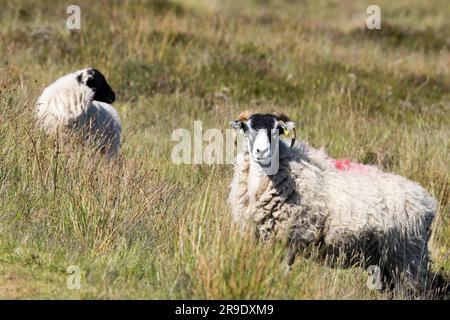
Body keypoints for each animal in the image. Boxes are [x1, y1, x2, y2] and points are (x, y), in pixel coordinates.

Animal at [229, 111, 436, 294]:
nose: (261, 151)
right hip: (386, 262)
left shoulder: (289, 240)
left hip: (407, 260)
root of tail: (428, 202)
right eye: (248, 128)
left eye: (277, 129)